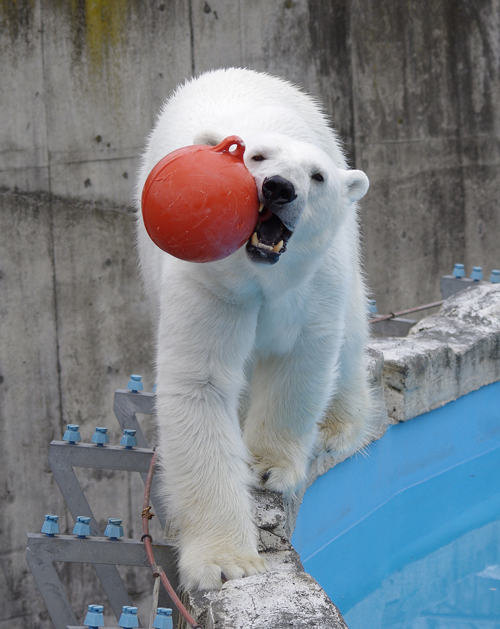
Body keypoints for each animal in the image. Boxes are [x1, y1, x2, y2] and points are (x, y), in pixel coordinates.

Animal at [135, 68, 374, 588]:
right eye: (256, 156)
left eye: (317, 176)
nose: (280, 187)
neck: (260, 276)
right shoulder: (209, 285)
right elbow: (200, 384)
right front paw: (227, 562)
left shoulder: (313, 281)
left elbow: (302, 359)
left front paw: (268, 468)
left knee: (349, 331)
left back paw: (339, 426)